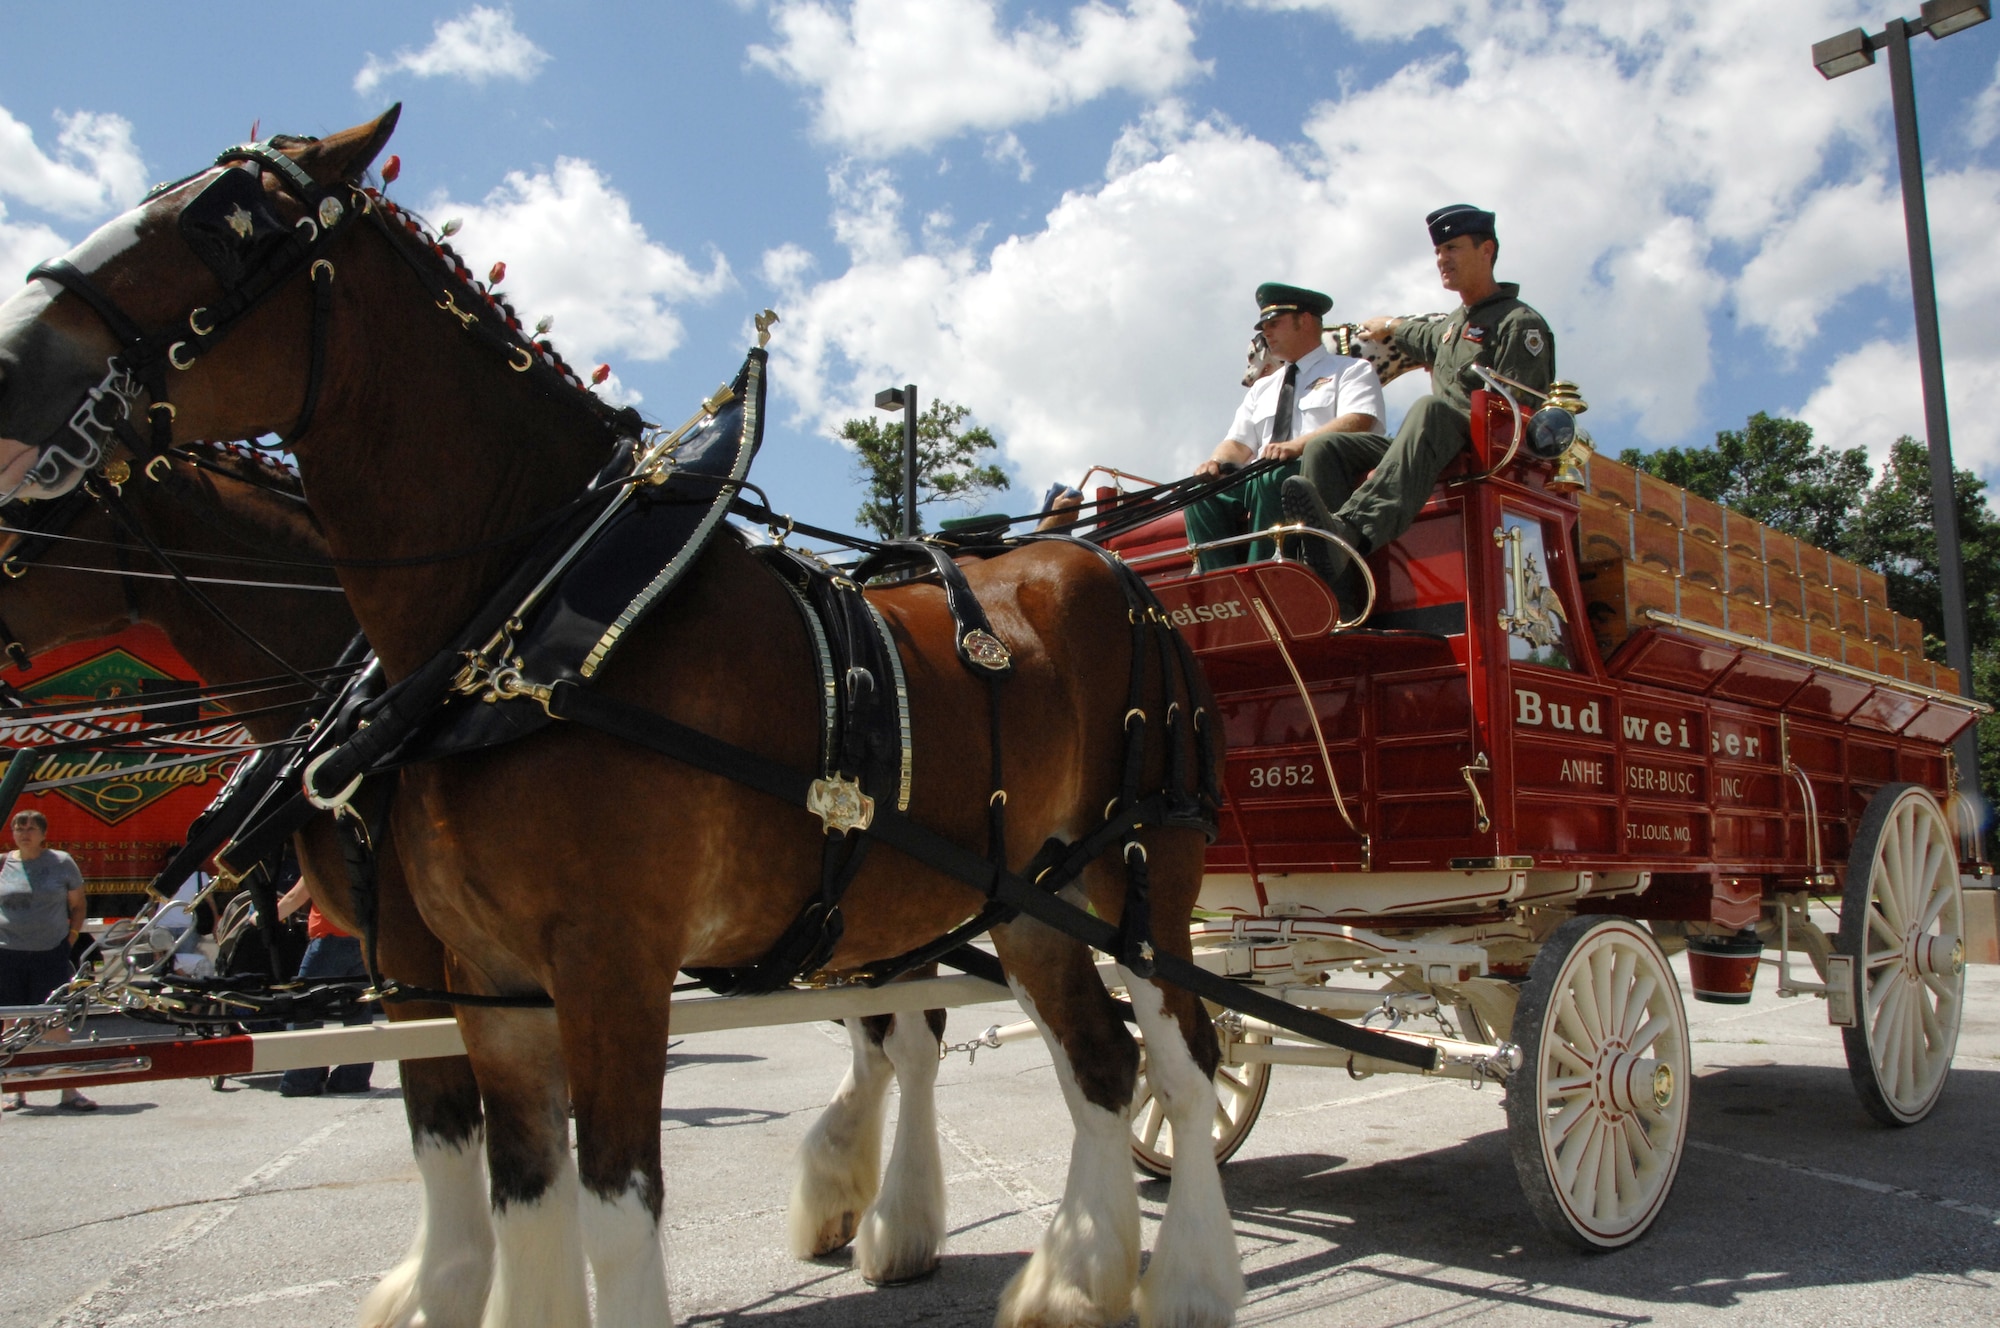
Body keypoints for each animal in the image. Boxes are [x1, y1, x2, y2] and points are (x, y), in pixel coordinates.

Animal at [0, 114, 1232, 1328]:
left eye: (221, 224)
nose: (9, 362)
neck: (520, 627)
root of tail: (1105, 568)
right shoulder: (484, 980)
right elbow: (510, 1190)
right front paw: (446, 1286)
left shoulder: (599, 965)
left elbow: (604, 1204)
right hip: (1016, 895)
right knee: (1092, 1060)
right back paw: (1067, 1276)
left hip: (1138, 875)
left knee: (1179, 1054)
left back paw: (1177, 1279)